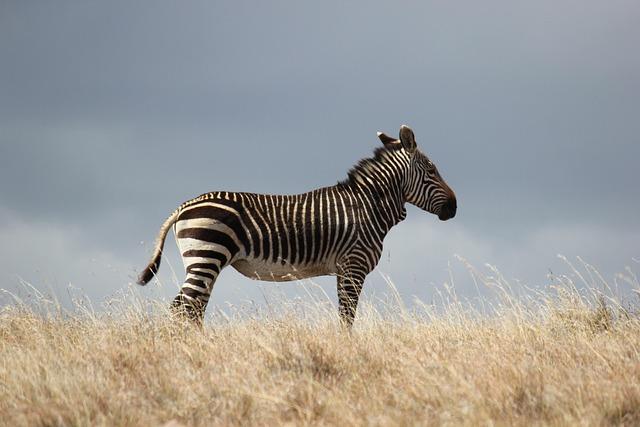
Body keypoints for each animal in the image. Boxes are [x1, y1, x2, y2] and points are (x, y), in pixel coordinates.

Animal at [137, 125, 457, 326]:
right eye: (431, 169)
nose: (454, 207)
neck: (368, 205)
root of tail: (184, 206)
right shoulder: (353, 266)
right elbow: (347, 316)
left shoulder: (344, 269)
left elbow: (344, 315)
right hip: (207, 255)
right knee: (182, 308)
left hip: (204, 261)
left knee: (192, 308)